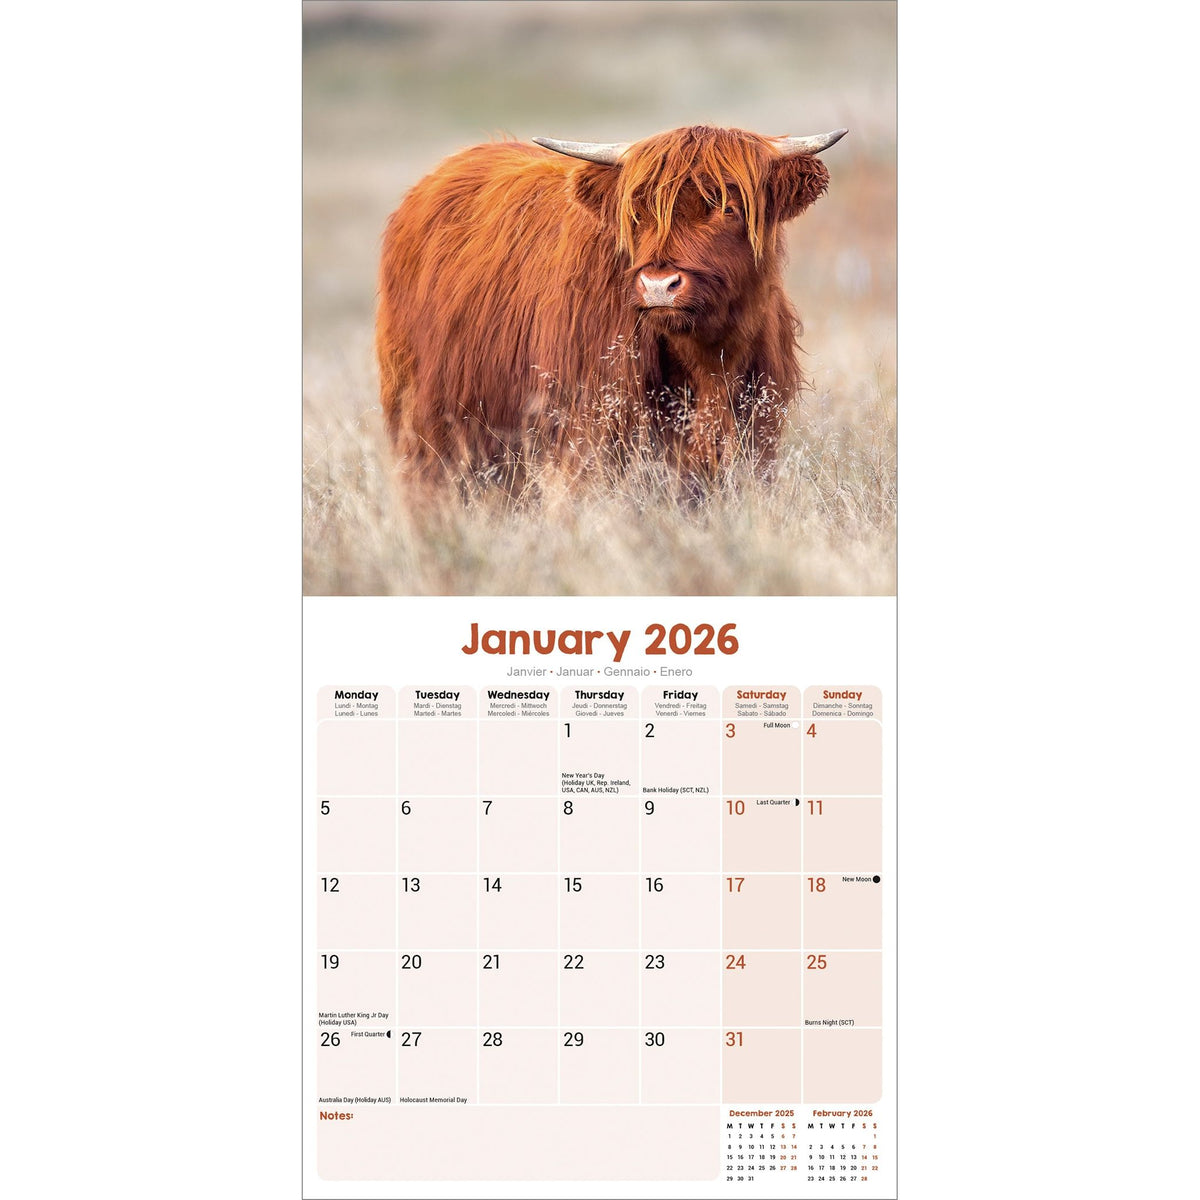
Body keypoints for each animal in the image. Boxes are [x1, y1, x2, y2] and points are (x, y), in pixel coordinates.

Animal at [375, 124, 846, 486]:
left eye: (729, 208)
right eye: (637, 213)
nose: (659, 285)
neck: (709, 361)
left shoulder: (757, 437)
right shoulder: (581, 436)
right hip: (425, 422)